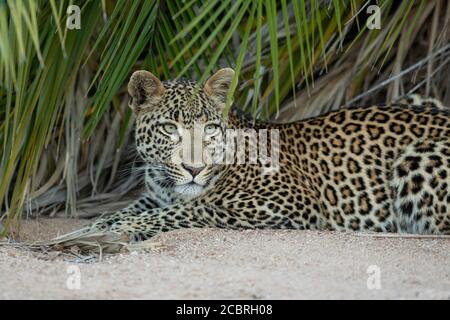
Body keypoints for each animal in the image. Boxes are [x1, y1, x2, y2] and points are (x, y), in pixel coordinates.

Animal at [89, 68, 450, 242]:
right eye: (168, 128)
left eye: (209, 128)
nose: (193, 168)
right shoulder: (154, 195)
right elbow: (135, 209)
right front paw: (99, 224)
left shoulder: (287, 200)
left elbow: (189, 210)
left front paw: (115, 228)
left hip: (417, 158)